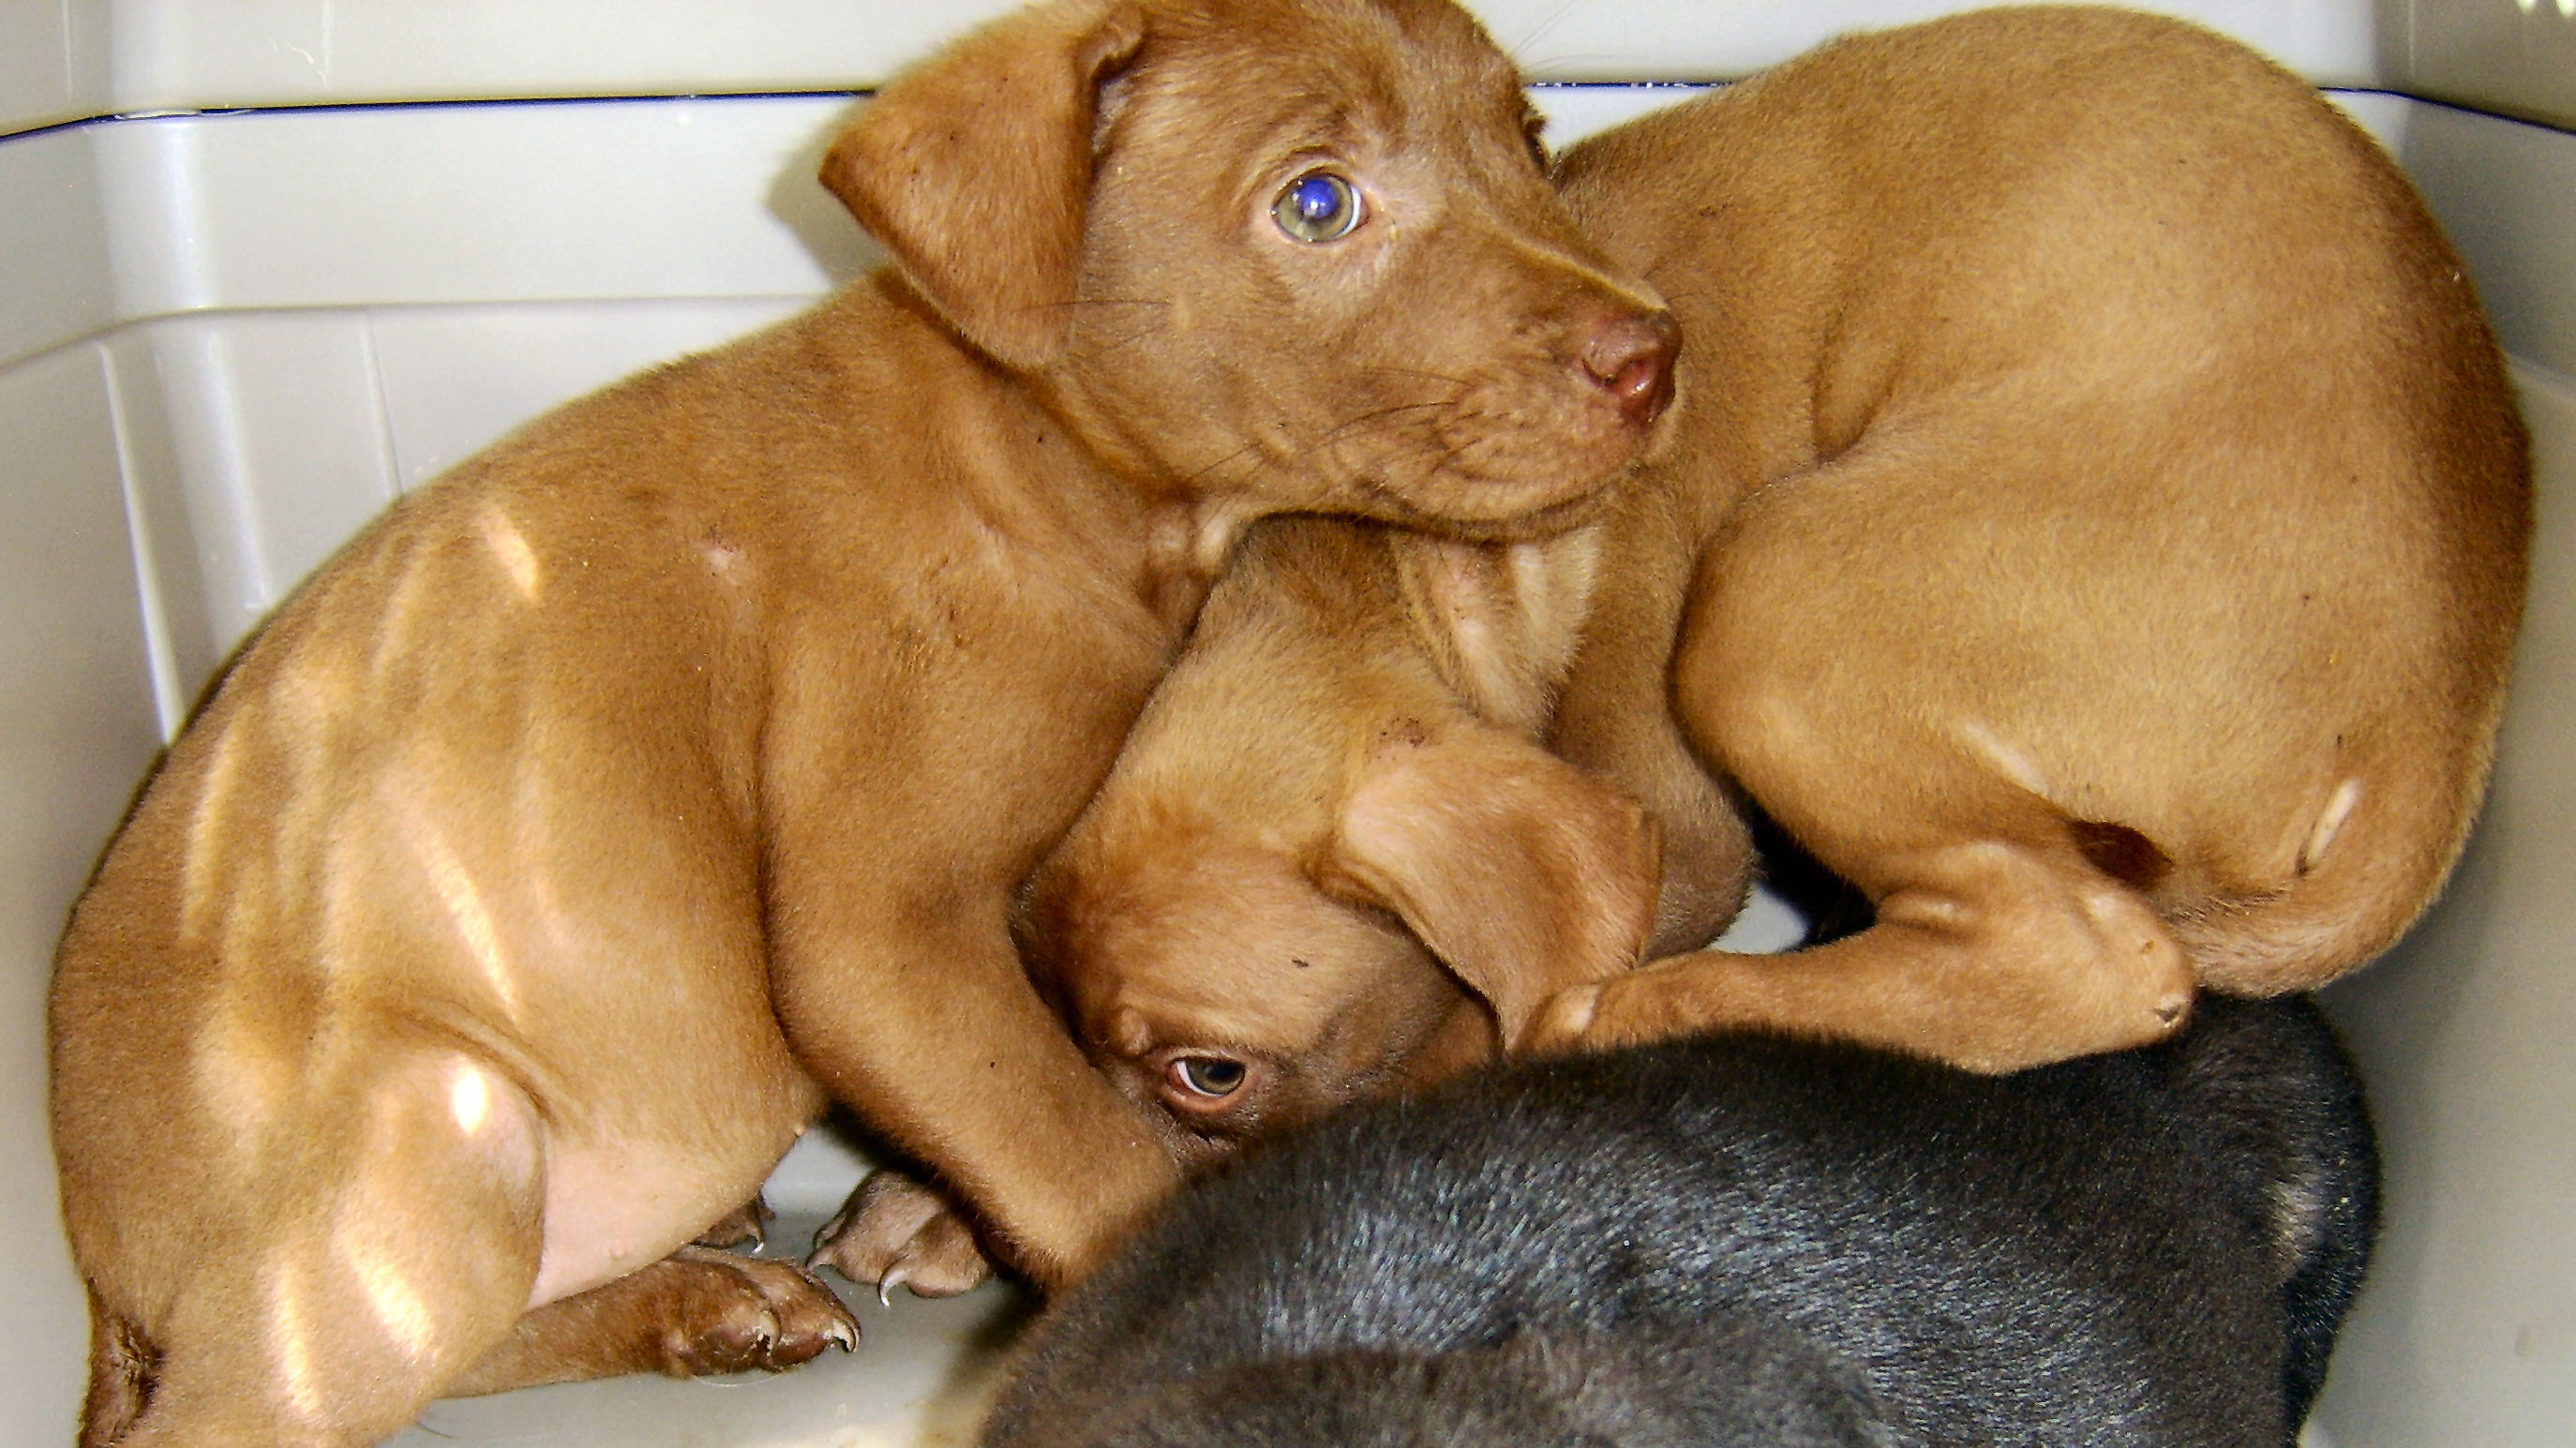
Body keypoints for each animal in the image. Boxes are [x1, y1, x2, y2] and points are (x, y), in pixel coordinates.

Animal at [44, 0, 1680, 1440]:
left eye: (1529, 135)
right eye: (1320, 201)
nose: (1658, 355)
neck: (1032, 457)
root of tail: (102, 1267)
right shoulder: (880, 935)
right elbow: (1089, 1163)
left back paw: (702, 1302)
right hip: (440, 1140)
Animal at [1006, 4, 2528, 1166]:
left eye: (1210, 1074)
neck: (1385, 561)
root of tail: (2437, 720)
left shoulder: (1677, 828)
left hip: (1776, 593)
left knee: (2084, 951)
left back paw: (1672, 1006)